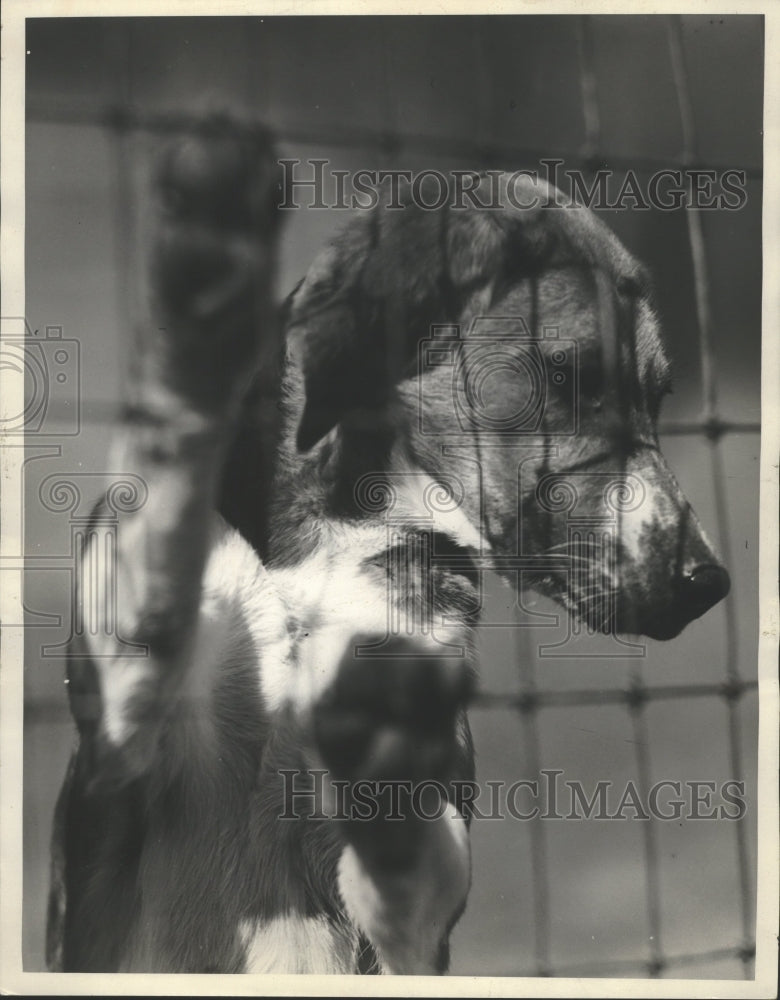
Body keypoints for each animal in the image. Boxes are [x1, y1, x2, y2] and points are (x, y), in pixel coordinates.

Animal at [45, 125, 728, 976]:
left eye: (660, 397)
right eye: (570, 377)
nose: (707, 580)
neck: (327, 538)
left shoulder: (414, 919)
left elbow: (411, 858)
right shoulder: (118, 741)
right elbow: (168, 485)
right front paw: (202, 300)